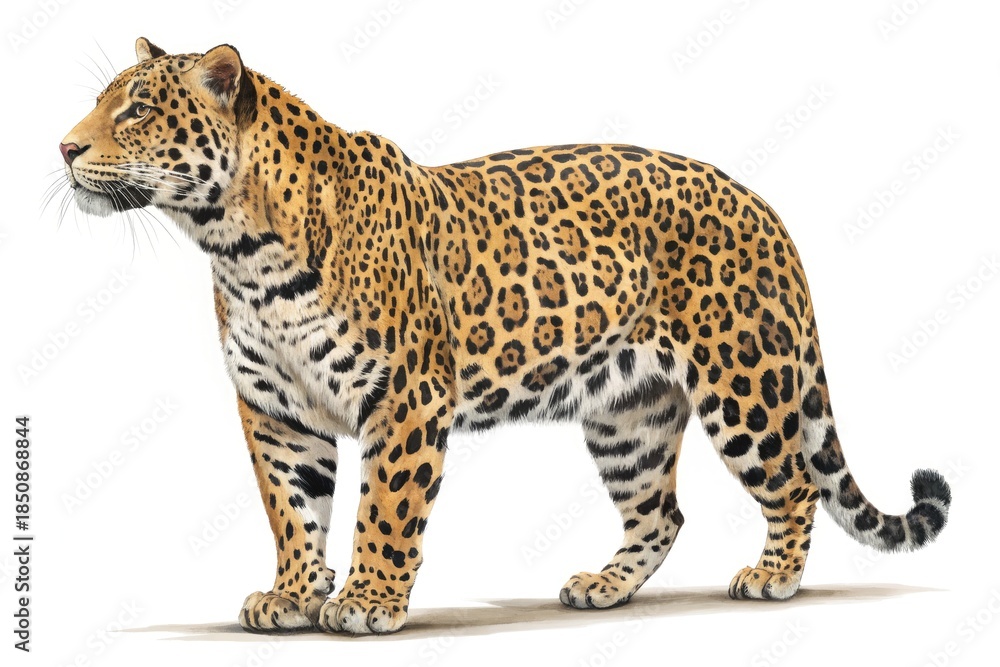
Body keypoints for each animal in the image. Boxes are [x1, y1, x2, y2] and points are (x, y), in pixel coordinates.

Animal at [58, 38, 951, 635]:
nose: (64, 147)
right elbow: (292, 507)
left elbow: (385, 506)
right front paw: (293, 593)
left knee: (794, 482)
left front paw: (367, 602)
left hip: (744, 387)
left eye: (136, 109)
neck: (239, 245)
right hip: (629, 413)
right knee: (661, 513)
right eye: (105, 101)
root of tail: (762, 204)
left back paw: (771, 577)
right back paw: (604, 586)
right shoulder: (276, 409)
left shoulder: (404, 397)